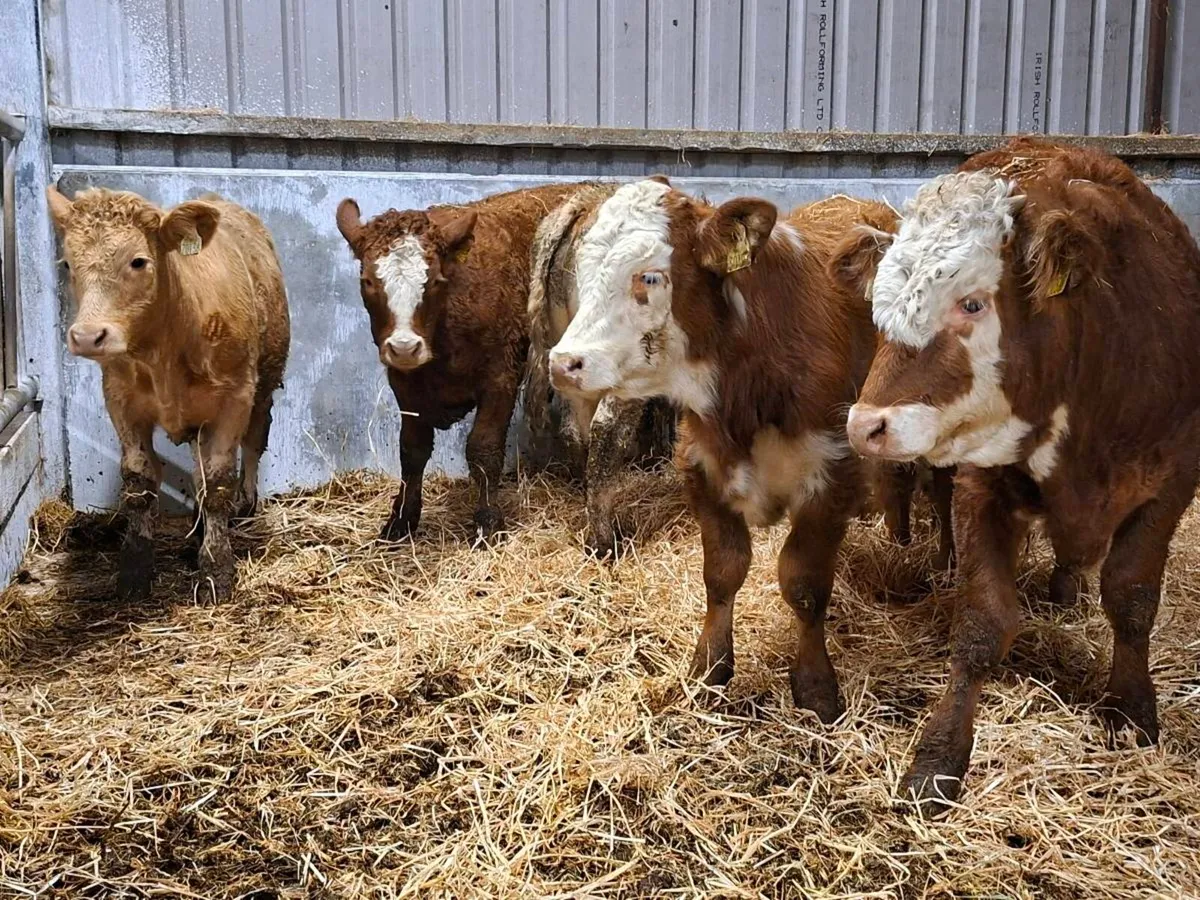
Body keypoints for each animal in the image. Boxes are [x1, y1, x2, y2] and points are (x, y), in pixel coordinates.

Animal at [47, 185, 291, 601]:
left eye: (139, 261)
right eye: (67, 264)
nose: (87, 336)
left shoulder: (234, 400)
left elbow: (218, 482)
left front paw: (216, 570)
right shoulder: (121, 401)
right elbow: (139, 480)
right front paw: (135, 570)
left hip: (264, 388)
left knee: (253, 444)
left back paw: (245, 503)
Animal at [335, 184, 591, 544]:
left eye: (435, 280)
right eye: (368, 280)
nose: (405, 347)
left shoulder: (501, 376)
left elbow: (483, 448)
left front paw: (488, 521)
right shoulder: (404, 383)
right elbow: (411, 451)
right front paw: (401, 520)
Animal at [545, 178, 909, 721]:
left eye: (650, 276)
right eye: (584, 271)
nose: (564, 362)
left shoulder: (830, 473)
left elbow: (804, 584)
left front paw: (815, 688)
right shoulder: (702, 466)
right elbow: (721, 573)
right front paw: (709, 670)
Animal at [840, 137, 1200, 810]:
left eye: (973, 302)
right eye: (880, 309)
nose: (865, 425)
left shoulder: (1171, 482)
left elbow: (1132, 597)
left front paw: (1133, 711)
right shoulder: (979, 483)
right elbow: (983, 622)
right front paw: (939, 758)